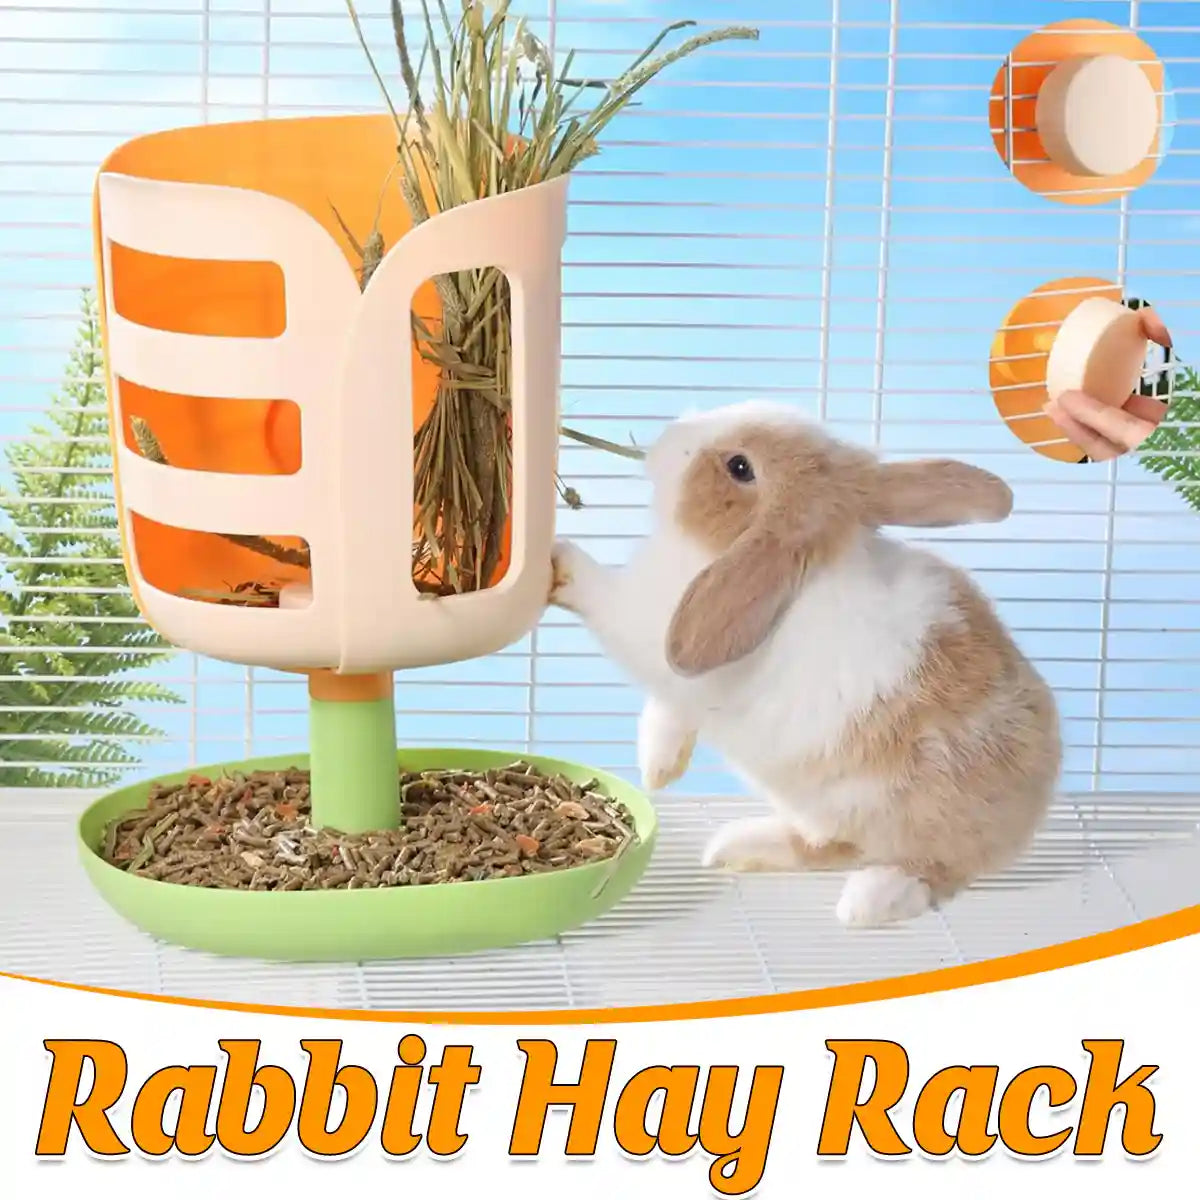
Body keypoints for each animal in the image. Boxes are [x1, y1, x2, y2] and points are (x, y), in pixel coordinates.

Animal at [549, 400, 1061, 928]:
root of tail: (1027, 817)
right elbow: (669, 715)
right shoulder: (684, 684)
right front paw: (658, 768)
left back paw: (869, 902)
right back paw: (736, 848)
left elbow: (606, 600)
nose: (672, 433)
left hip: (915, 819)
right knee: (827, 846)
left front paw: (561, 557)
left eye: (740, 467)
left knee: (935, 870)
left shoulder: (655, 630)